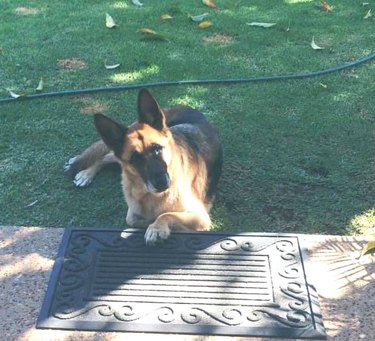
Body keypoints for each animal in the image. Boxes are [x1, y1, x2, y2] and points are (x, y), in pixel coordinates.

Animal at [64, 89, 223, 244]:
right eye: (135, 158)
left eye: (157, 149)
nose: (162, 183)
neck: (153, 196)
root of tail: (182, 106)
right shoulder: (134, 211)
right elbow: (134, 218)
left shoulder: (201, 216)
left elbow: (166, 215)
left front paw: (157, 228)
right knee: (105, 156)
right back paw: (85, 173)